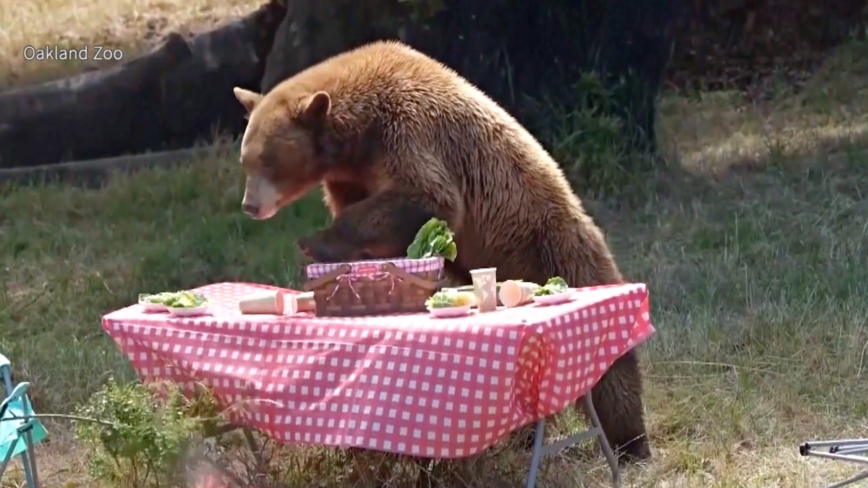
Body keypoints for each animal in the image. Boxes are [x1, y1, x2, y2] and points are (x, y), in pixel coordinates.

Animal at [232, 41, 652, 462]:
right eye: (245, 159)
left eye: (267, 159)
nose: (250, 206)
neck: (358, 135)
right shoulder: (351, 174)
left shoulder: (410, 133)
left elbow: (427, 199)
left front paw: (315, 241)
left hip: (552, 244)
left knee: (613, 371)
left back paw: (631, 443)